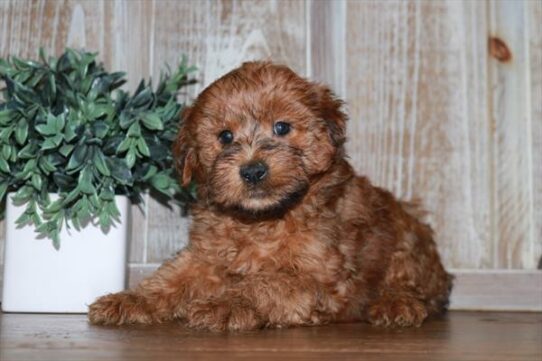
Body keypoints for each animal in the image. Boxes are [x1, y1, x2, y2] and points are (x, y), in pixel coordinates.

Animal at [89, 61, 454, 330]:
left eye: (281, 128)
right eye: (225, 136)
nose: (252, 170)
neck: (260, 221)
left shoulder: (316, 277)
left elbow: (264, 284)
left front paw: (225, 303)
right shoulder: (203, 256)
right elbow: (170, 277)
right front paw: (130, 299)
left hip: (408, 242)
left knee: (414, 285)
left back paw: (396, 304)